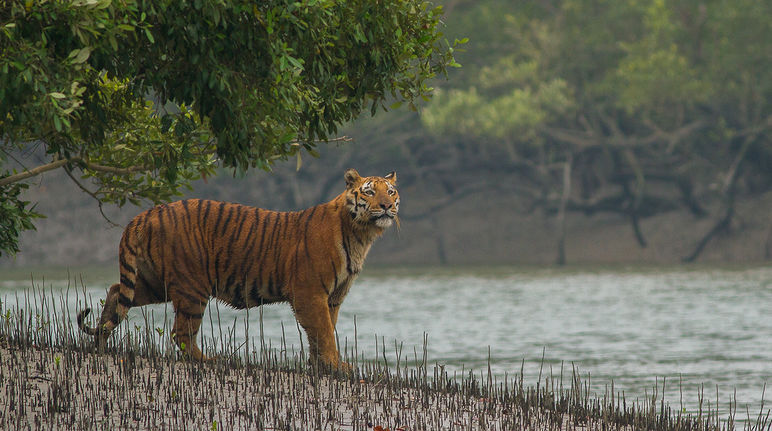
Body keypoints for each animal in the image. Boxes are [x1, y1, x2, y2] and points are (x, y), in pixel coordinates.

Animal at [77, 170, 402, 370]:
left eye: (391, 191)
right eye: (369, 192)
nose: (387, 206)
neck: (361, 233)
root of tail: (146, 213)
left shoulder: (332, 297)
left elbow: (323, 332)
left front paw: (321, 365)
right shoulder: (310, 293)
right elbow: (323, 332)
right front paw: (336, 366)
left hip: (155, 282)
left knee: (116, 292)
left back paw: (100, 343)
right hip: (192, 286)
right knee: (181, 332)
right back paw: (209, 360)